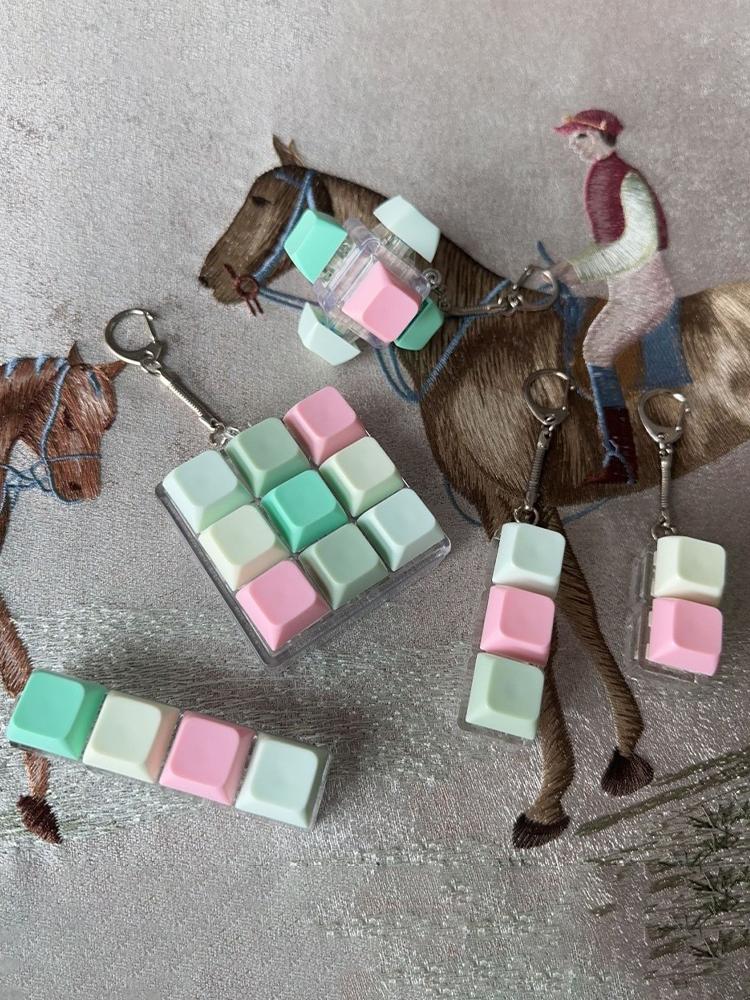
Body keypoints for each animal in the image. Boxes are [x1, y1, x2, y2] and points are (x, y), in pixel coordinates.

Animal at [199, 137, 750, 846]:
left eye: (263, 198)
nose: (209, 278)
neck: (469, 342)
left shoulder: (527, 504)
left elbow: (570, 619)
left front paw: (581, 779)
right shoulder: (501, 509)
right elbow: (557, 621)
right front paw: (579, 775)